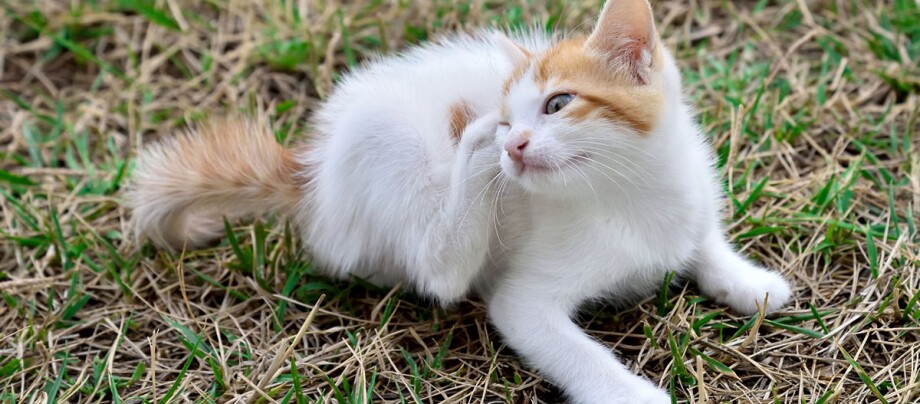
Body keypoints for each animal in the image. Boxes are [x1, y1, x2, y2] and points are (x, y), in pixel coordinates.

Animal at [127, 0, 792, 400]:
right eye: (510, 114)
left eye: (558, 103)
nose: (511, 142)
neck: (627, 193)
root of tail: (312, 174)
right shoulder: (525, 304)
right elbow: (568, 348)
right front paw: (632, 394)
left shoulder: (691, 199)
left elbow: (704, 242)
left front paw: (749, 283)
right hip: (397, 157)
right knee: (441, 270)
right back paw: (471, 154)